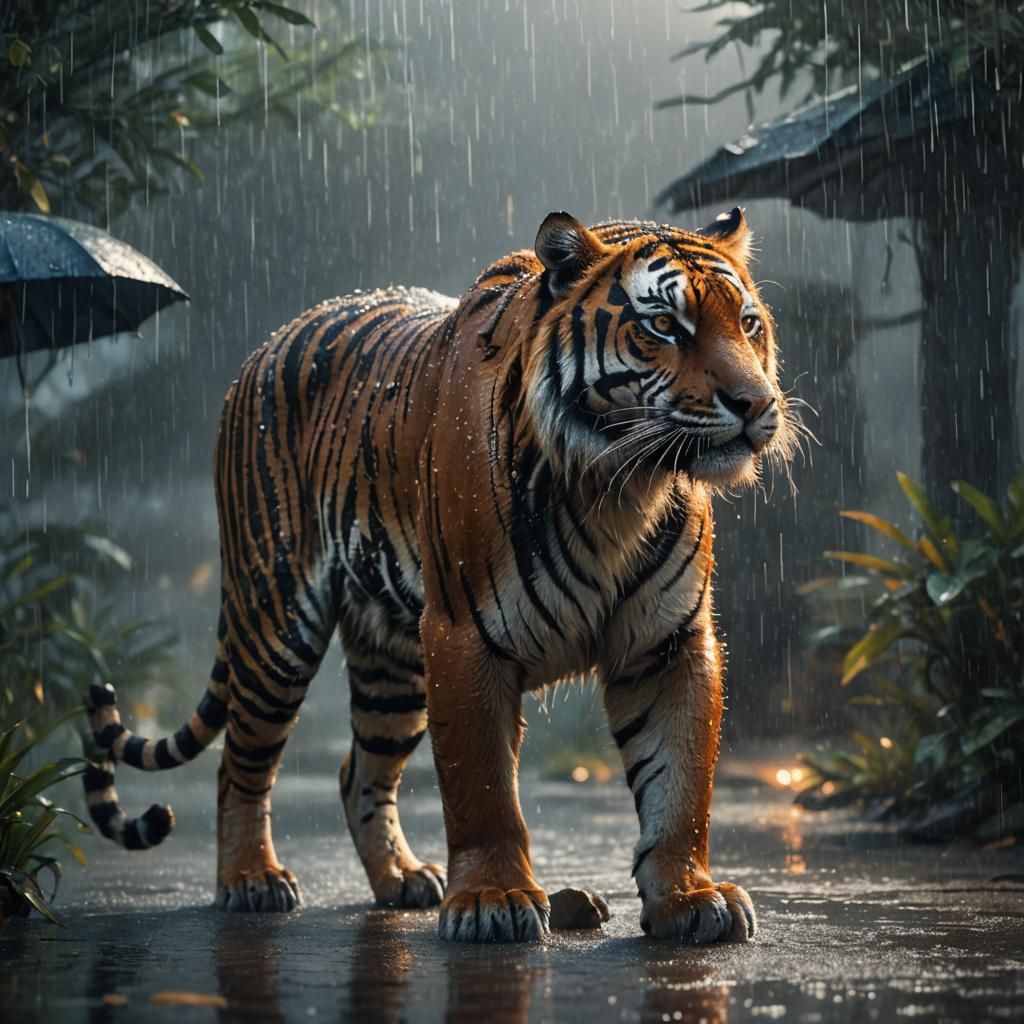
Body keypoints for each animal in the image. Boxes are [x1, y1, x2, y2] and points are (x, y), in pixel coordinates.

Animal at [83, 207, 795, 944]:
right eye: (663, 325)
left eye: (747, 323)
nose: (754, 402)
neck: (616, 489)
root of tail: (265, 347)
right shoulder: (465, 636)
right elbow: (482, 788)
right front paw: (493, 900)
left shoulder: (668, 643)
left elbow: (680, 782)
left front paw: (690, 896)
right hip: (276, 622)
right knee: (240, 765)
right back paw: (252, 879)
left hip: (392, 663)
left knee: (358, 770)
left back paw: (401, 877)